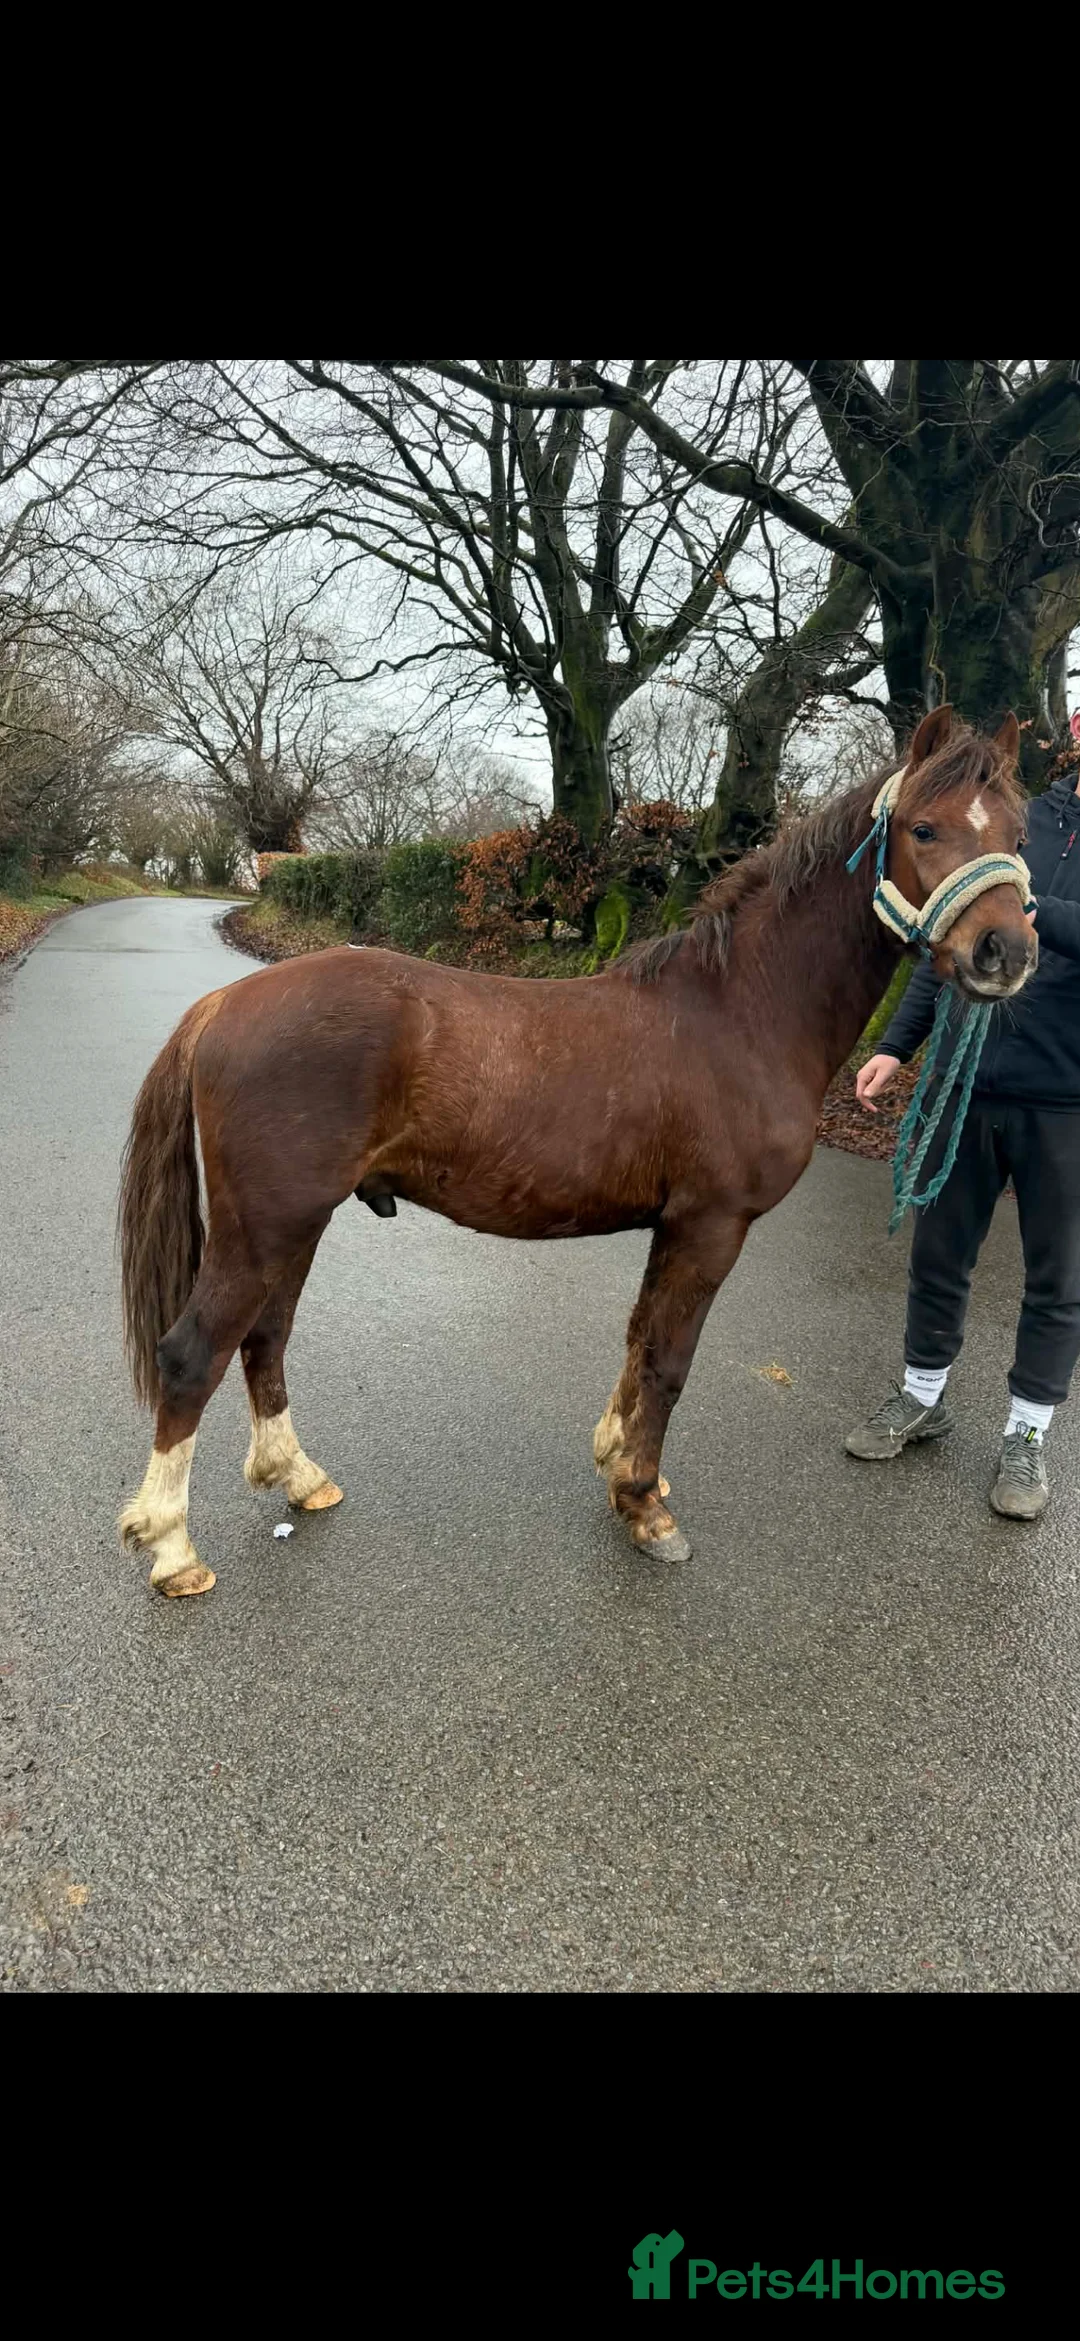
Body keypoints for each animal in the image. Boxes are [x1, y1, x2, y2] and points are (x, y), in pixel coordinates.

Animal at [118, 706, 1036, 1597]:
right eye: (923, 827)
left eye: (1020, 832)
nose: (1006, 953)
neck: (739, 1012)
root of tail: (225, 1002)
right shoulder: (711, 1225)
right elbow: (667, 1361)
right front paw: (645, 1508)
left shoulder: (674, 1226)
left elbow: (637, 1342)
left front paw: (623, 1464)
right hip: (266, 1226)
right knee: (193, 1354)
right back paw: (172, 1549)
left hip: (293, 1225)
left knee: (264, 1338)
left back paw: (300, 1478)